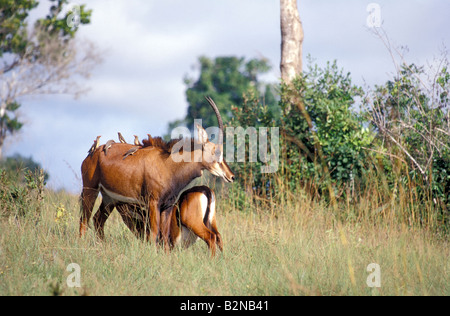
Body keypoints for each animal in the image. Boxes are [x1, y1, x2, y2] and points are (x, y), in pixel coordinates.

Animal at [80, 96, 236, 244]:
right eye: (217, 152)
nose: (231, 176)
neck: (168, 165)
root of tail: (94, 152)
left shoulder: (168, 205)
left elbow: (165, 236)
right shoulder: (153, 203)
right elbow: (154, 234)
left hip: (109, 198)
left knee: (98, 220)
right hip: (90, 190)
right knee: (84, 221)